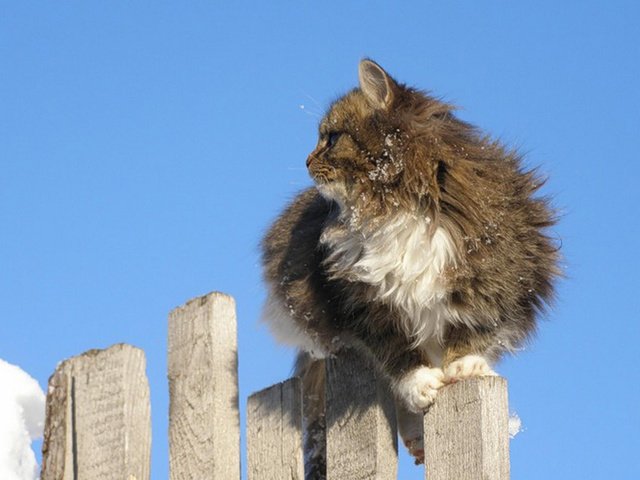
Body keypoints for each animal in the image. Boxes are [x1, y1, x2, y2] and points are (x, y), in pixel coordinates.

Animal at [260, 59, 560, 468]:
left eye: (331, 139)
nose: (307, 160)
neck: (399, 205)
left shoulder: (499, 275)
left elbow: (473, 331)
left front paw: (464, 365)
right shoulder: (363, 302)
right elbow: (398, 354)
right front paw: (422, 384)